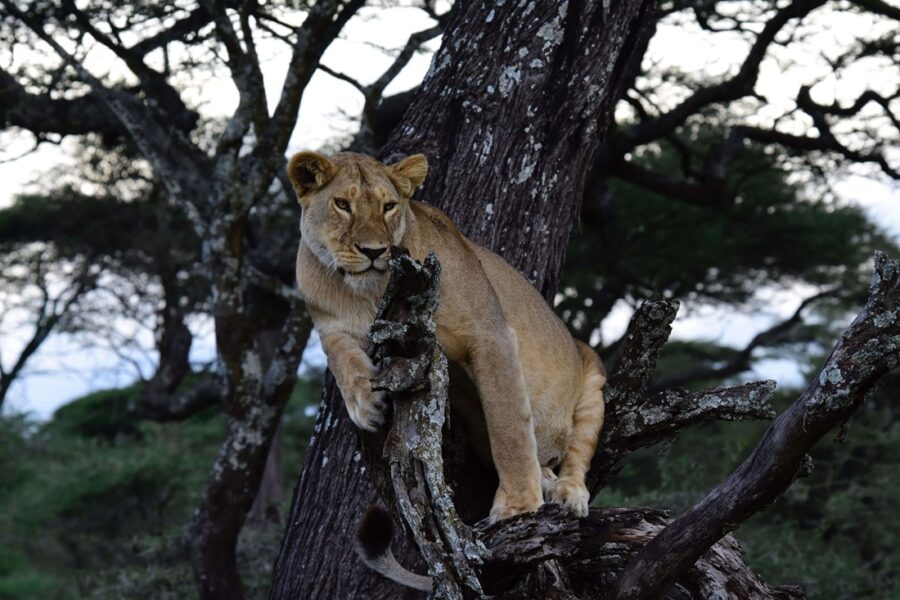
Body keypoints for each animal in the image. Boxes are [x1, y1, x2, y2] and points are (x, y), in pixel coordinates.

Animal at [287, 150, 606, 527]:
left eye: (389, 206)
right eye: (342, 204)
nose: (374, 251)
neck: (365, 293)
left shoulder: (489, 333)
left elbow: (508, 426)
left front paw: (518, 506)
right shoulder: (330, 325)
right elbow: (339, 356)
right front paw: (366, 404)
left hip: (591, 372)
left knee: (577, 451)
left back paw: (566, 491)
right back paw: (545, 478)